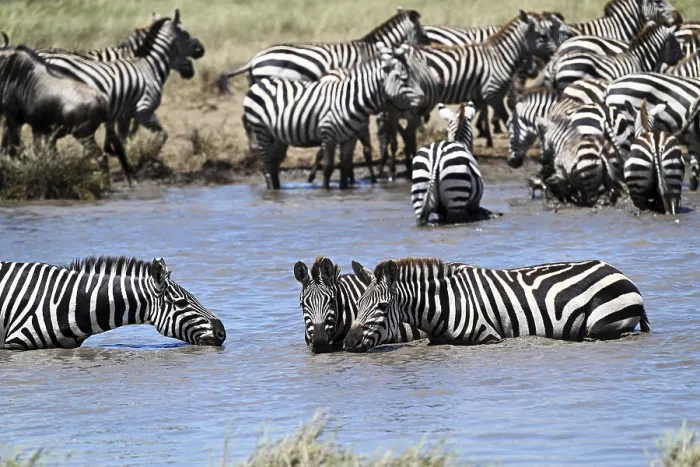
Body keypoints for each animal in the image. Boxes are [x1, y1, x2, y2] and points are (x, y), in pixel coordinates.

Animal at [37, 11, 199, 172]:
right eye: (186, 36)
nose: (201, 50)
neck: (131, 55)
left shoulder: (119, 100)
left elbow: (118, 128)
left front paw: (115, 148)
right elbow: (128, 127)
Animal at [242, 43, 433, 190]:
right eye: (404, 79)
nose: (425, 102)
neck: (352, 100)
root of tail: (259, 83)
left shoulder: (349, 138)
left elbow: (344, 167)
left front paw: (344, 190)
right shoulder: (328, 135)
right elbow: (328, 167)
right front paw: (326, 190)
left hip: (278, 135)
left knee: (274, 163)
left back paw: (277, 189)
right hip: (261, 130)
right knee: (266, 163)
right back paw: (271, 190)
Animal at [343, 257, 649, 352]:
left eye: (382, 307)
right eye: (357, 304)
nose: (348, 343)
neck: (444, 302)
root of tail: (621, 273)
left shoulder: (489, 336)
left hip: (600, 324)